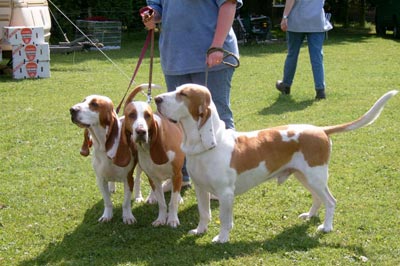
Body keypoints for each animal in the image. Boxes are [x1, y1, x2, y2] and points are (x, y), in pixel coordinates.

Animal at [70, 94, 142, 224]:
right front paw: (107, 215)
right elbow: (107, 201)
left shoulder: (128, 179)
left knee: (138, 179)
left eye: (94, 104)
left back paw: (138, 196)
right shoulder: (100, 180)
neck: (103, 147)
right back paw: (112, 188)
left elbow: (126, 203)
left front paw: (127, 216)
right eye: (83, 101)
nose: (72, 110)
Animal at [114, 84, 186, 227]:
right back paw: (149, 197)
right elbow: (162, 203)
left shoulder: (176, 174)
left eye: (148, 116)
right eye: (131, 115)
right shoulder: (153, 177)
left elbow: (173, 201)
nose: (141, 131)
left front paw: (173, 219)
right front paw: (161, 219)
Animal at [155, 83, 398, 243]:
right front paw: (200, 231)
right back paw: (310, 215)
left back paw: (326, 226)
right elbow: (204, 213)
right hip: (304, 176)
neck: (205, 146)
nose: (156, 99)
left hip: (316, 177)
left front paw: (221, 238)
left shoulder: (225, 194)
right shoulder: (200, 189)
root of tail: (320, 129)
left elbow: (225, 220)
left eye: (183, 94)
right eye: (176, 89)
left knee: (330, 201)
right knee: (318, 198)